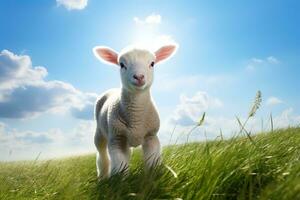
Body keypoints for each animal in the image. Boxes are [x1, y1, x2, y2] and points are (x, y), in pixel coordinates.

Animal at [92, 44, 178, 178]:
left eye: (152, 63)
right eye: (121, 64)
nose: (139, 77)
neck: (136, 117)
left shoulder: (151, 136)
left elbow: (152, 163)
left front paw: (152, 178)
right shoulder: (116, 138)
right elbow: (120, 167)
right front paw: (121, 181)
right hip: (100, 132)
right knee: (101, 153)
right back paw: (103, 176)